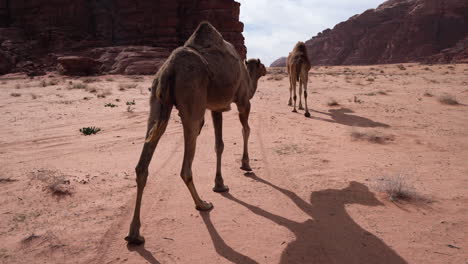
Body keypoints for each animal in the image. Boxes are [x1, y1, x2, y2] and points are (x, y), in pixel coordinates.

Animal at [125, 21, 266, 244]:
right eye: (260, 66)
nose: (267, 69)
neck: (247, 76)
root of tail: (170, 68)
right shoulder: (243, 100)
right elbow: (246, 130)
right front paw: (245, 164)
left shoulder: (216, 107)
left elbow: (219, 144)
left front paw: (220, 184)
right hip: (192, 100)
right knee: (186, 166)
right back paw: (202, 204)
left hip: (156, 100)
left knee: (142, 165)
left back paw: (134, 234)